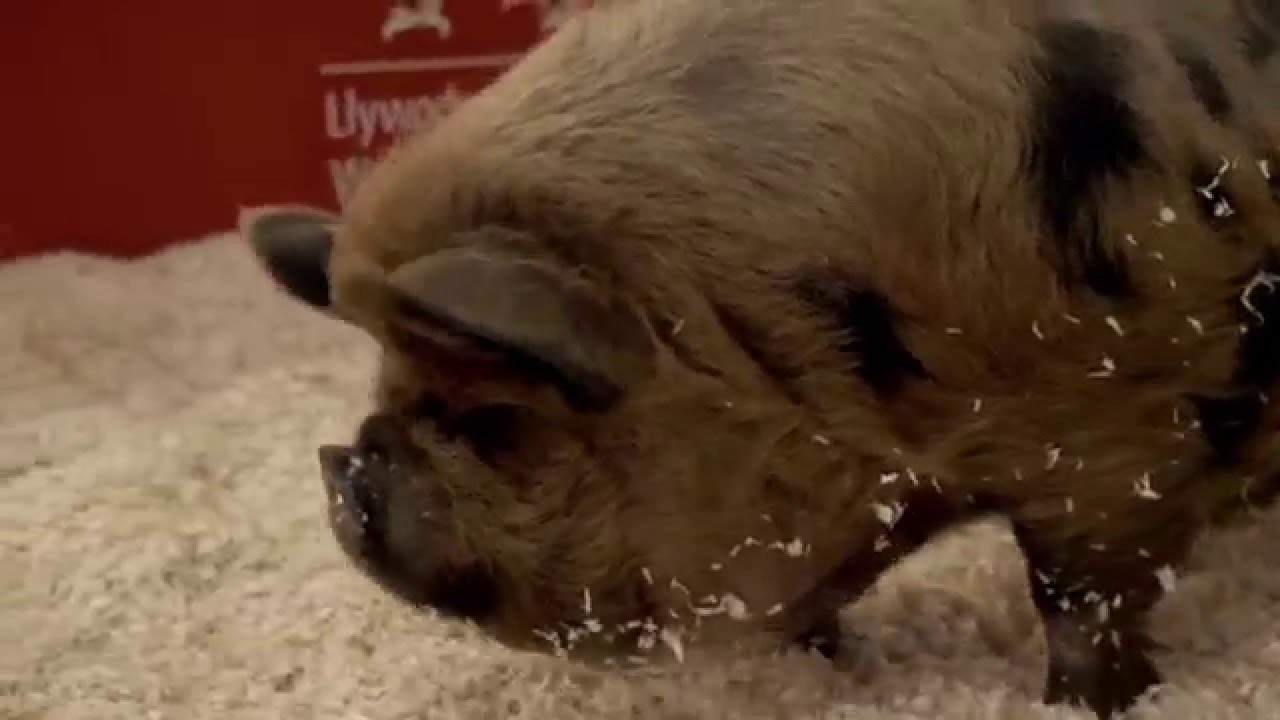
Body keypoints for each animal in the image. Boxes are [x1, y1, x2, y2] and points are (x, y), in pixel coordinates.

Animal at [240, 0, 1280, 716]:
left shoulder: (1122, 428)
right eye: (387, 387)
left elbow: (1080, 595)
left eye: (498, 419)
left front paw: (1079, 703)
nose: (346, 466)